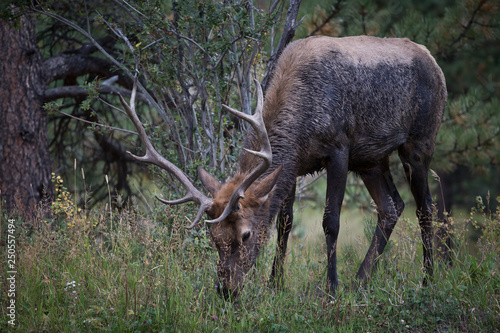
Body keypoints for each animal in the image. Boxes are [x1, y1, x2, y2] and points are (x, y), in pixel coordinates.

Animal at [119, 35, 448, 296]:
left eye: (246, 234)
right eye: (214, 238)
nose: (226, 289)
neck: (300, 122)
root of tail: (434, 61)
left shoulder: (339, 149)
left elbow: (331, 221)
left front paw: (330, 288)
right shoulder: (294, 164)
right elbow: (285, 221)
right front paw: (275, 284)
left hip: (420, 141)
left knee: (425, 207)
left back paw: (428, 279)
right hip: (372, 159)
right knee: (392, 207)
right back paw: (361, 280)